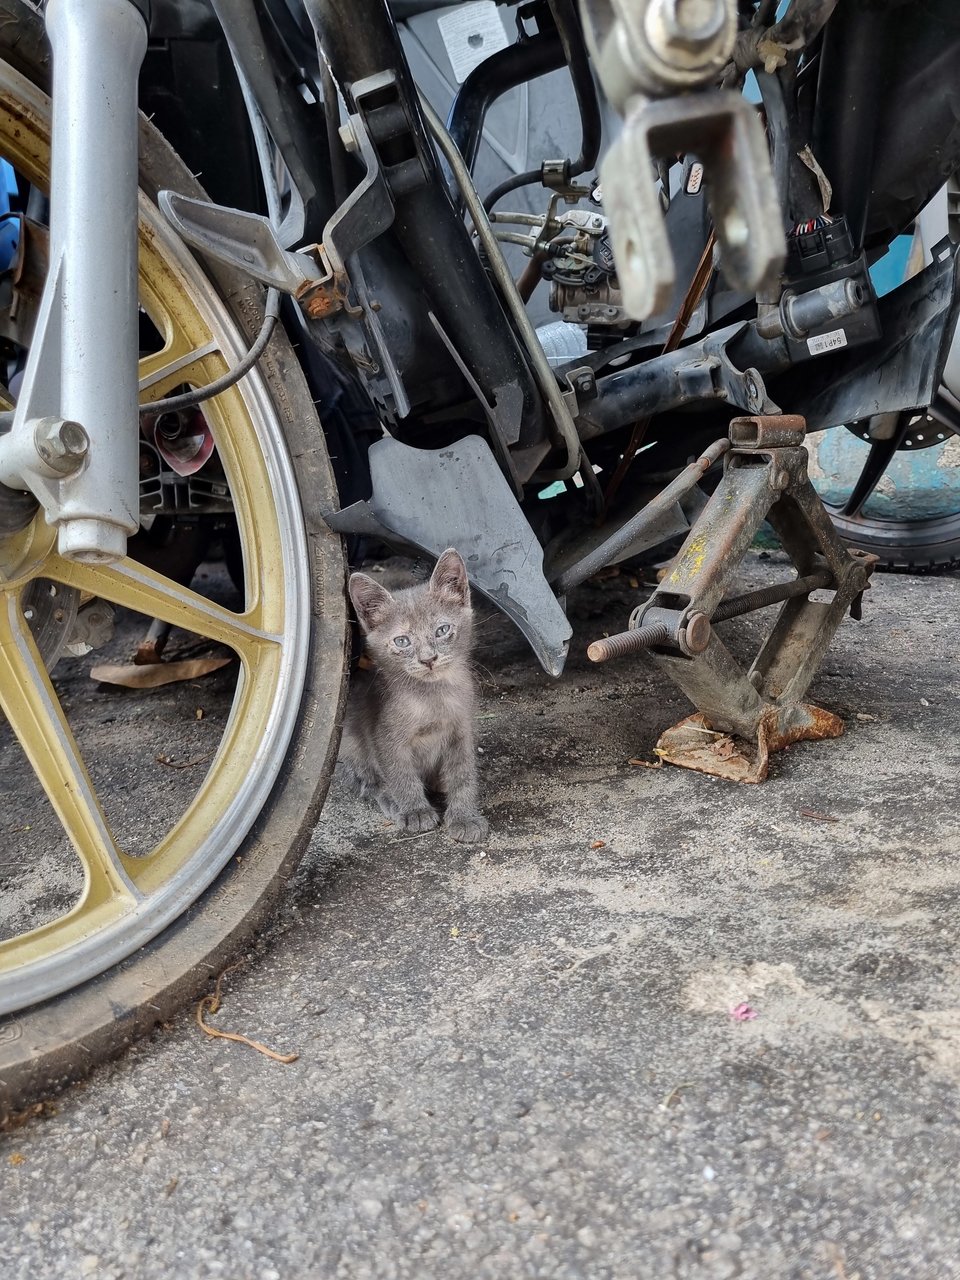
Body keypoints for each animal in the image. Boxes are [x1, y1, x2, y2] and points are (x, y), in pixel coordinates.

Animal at [343, 547, 488, 839]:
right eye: (402, 641)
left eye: (442, 630)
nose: (428, 659)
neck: (433, 698)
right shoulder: (385, 736)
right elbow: (400, 774)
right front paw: (415, 811)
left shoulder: (462, 729)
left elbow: (463, 773)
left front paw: (465, 816)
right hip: (352, 738)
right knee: (366, 779)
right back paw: (390, 800)